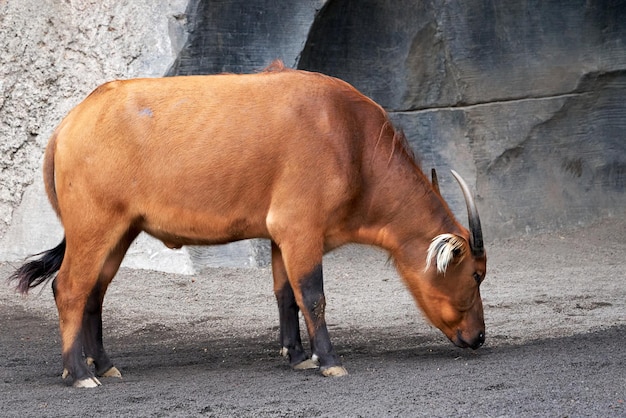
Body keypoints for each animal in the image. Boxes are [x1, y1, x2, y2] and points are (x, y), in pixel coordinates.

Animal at [11, 60, 488, 386]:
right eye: (476, 275)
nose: (480, 337)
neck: (350, 137)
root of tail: (70, 123)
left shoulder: (281, 237)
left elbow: (285, 295)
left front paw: (298, 355)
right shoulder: (301, 230)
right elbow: (313, 296)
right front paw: (329, 361)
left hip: (121, 231)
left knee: (93, 293)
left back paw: (106, 365)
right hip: (94, 228)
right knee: (69, 288)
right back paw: (78, 374)